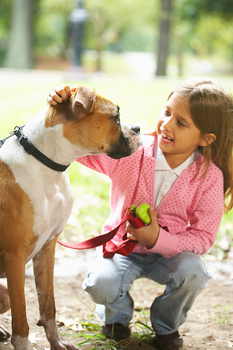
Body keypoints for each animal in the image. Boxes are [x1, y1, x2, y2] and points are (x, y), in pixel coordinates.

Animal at [0, 85, 140, 350]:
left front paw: (57, 343)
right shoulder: (15, 258)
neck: (44, 163)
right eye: (115, 117)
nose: (138, 128)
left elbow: (49, 306)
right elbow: (21, 322)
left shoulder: (47, 249)